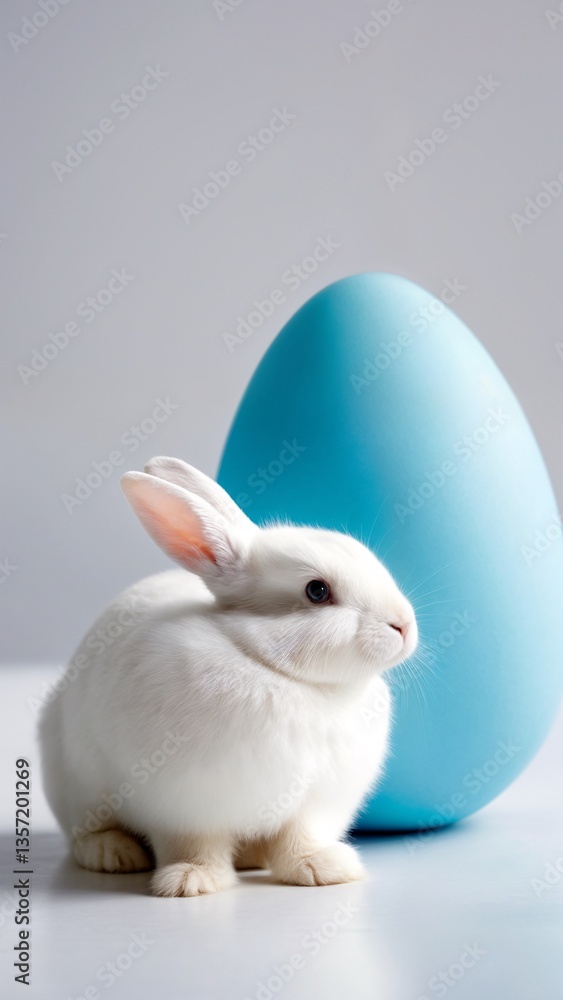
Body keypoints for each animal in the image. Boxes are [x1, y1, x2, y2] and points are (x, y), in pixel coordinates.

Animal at [39, 456, 418, 896]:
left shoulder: (313, 802)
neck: (285, 676)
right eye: (317, 591)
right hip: (75, 786)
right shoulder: (183, 806)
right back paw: (113, 854)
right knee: (86, 831)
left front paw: (323, 870)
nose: (404, 626)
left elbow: (300, 838)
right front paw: (192, 881)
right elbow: (195, 845)